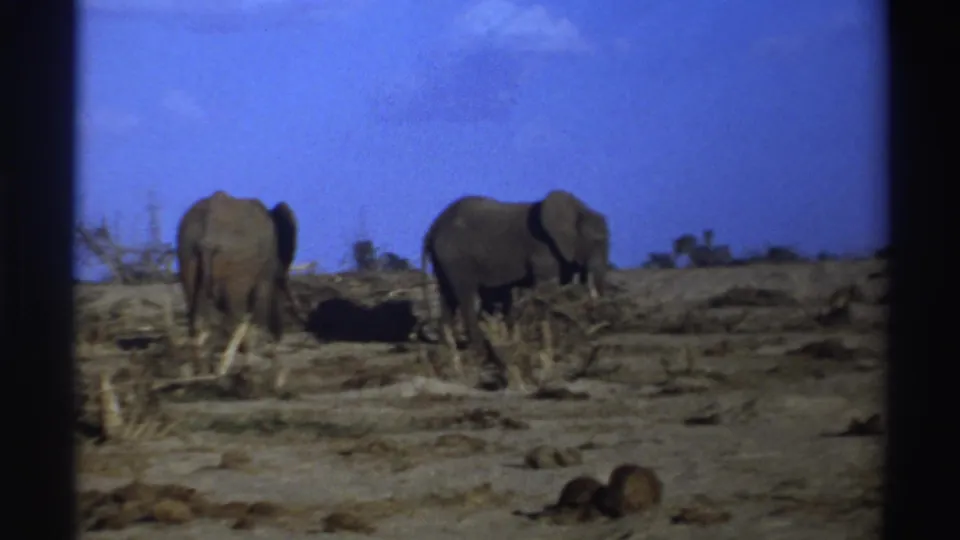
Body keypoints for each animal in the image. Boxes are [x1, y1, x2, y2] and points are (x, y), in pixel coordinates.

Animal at [175, 190, 307, 376]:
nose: (278, 337)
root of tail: (208, 236)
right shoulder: (263, 269)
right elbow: (257, 307)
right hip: (238, 263)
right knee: (234, 314)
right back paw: (226, 369)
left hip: (187, 254)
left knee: (196, 316)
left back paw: (202, 371)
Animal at [420, 189, 611, 364]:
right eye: (597, 240)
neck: (579, 208)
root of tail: (431, 230)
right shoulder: (543, 249)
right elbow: (548, 289)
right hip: (456, 257)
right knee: (467, 298)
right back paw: (479, 354)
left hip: (444, 260)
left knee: (448, 297)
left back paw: (448, 351)